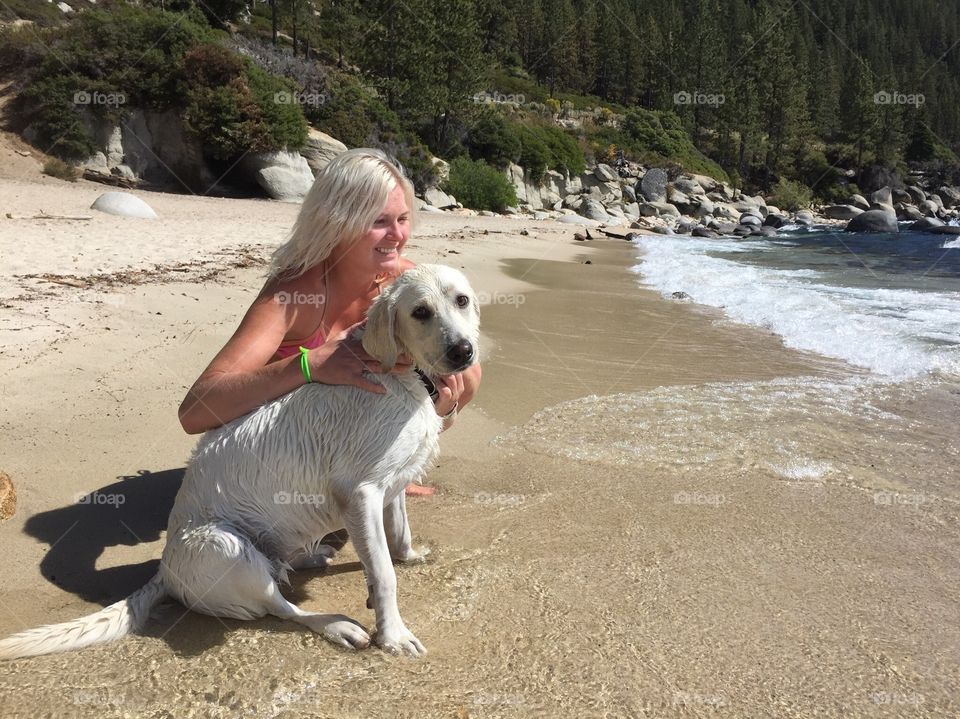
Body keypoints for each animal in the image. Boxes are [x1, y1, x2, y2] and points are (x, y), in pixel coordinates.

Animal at [0, 262, 480, 660]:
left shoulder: (390, 483)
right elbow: (382, 574)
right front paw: (394, 635)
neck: (403, 374)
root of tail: (164, 571)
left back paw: (313, 556)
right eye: (420, 312)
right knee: (281, 609)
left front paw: (411, 555)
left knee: (285, 571)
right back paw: (336, 625)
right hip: (226, 548)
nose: (463, 351)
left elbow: (398, 535)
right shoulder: (359, 492)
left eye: (461, 300)